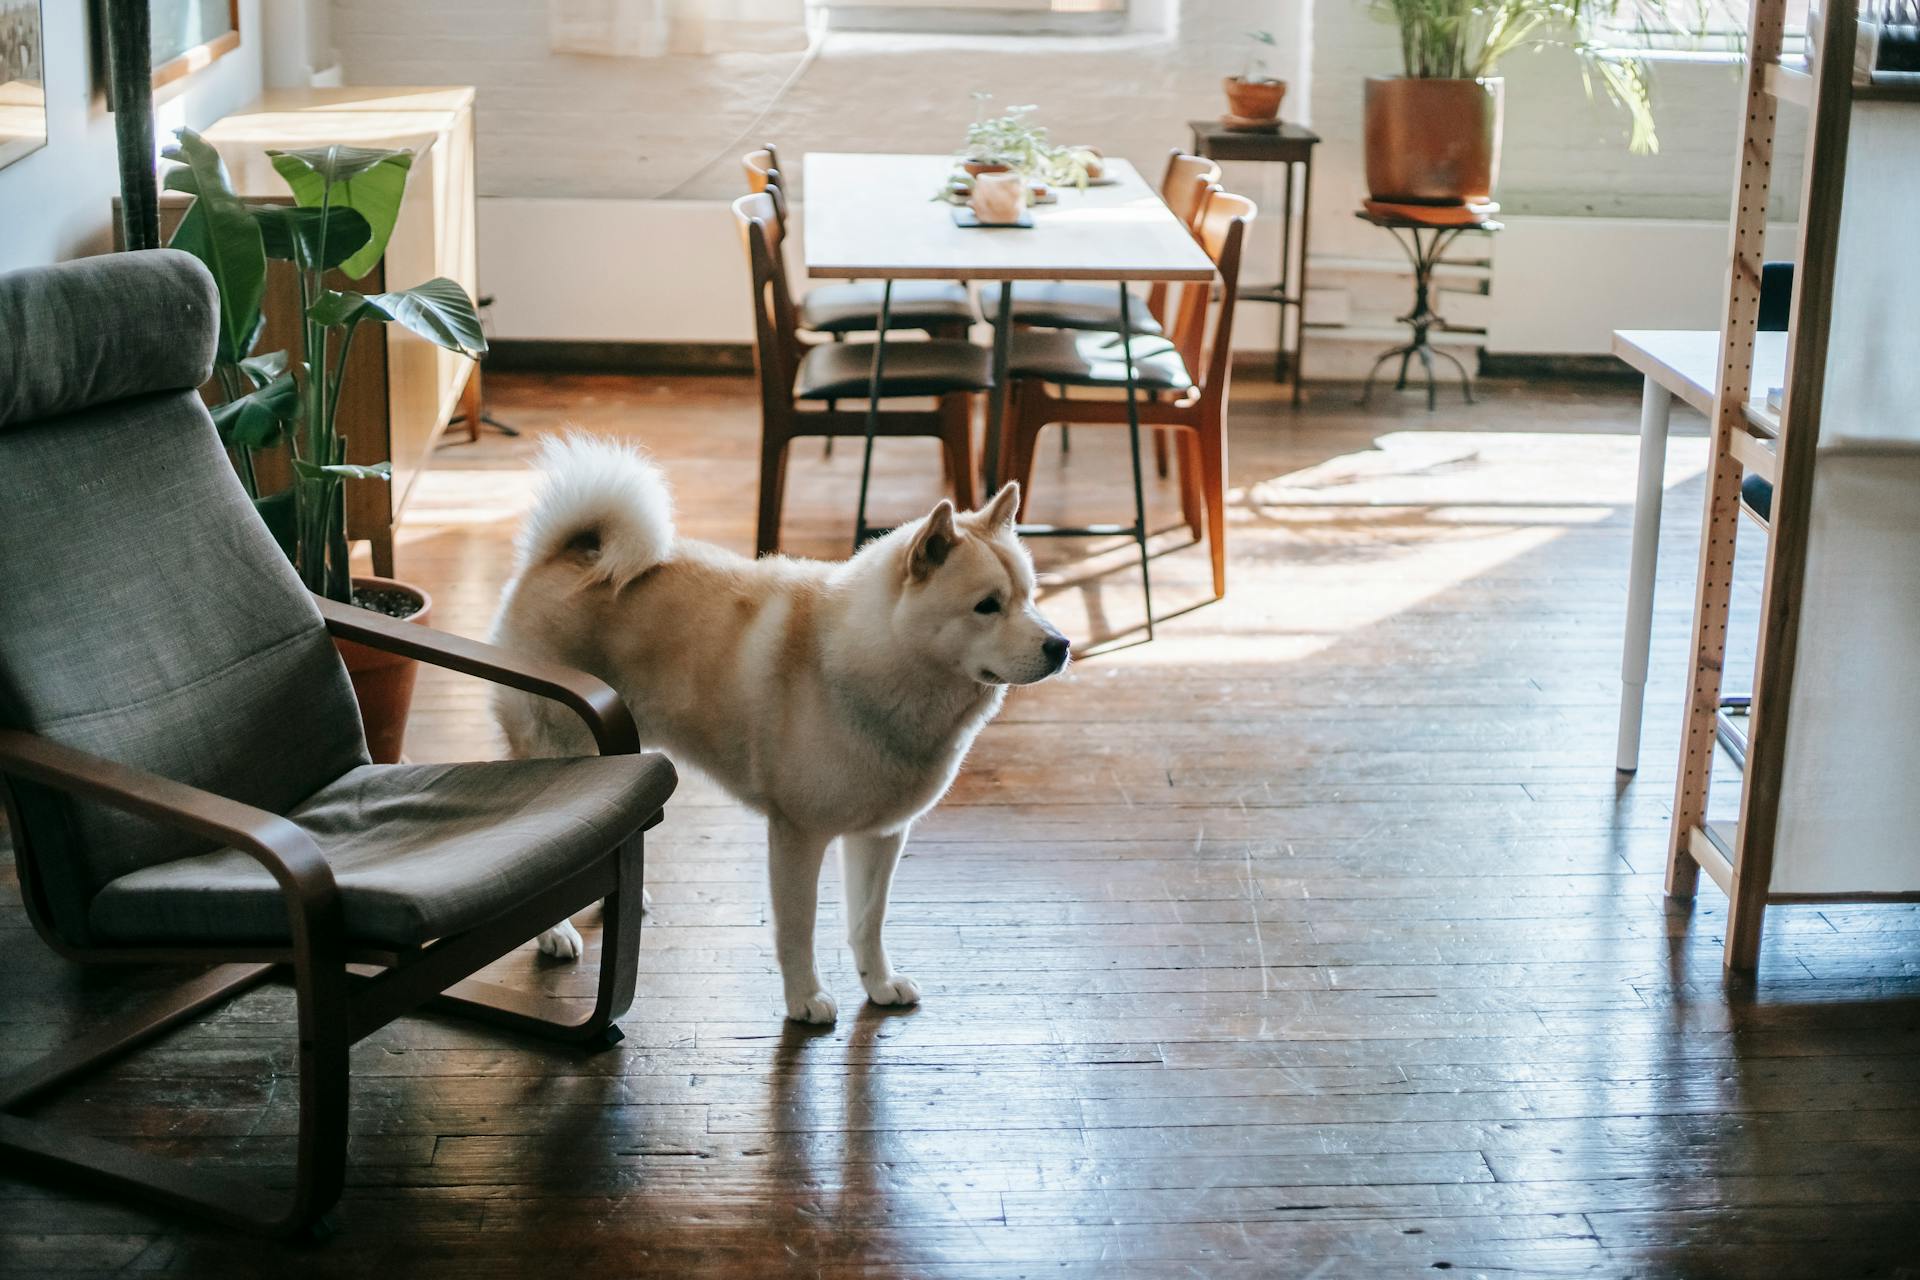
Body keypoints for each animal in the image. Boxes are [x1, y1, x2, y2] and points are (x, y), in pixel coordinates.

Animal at [487, 435, 1075, 1028]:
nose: (1061, 645)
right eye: (987, 606)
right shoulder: (797, 833)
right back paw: (555, 934)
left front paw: (879, 985)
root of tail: (565, 554)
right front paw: (804, 999)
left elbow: (868, 922)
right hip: (563, 750)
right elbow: (800, 927)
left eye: (1028, 597)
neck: (872, 662)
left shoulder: (881, 835)